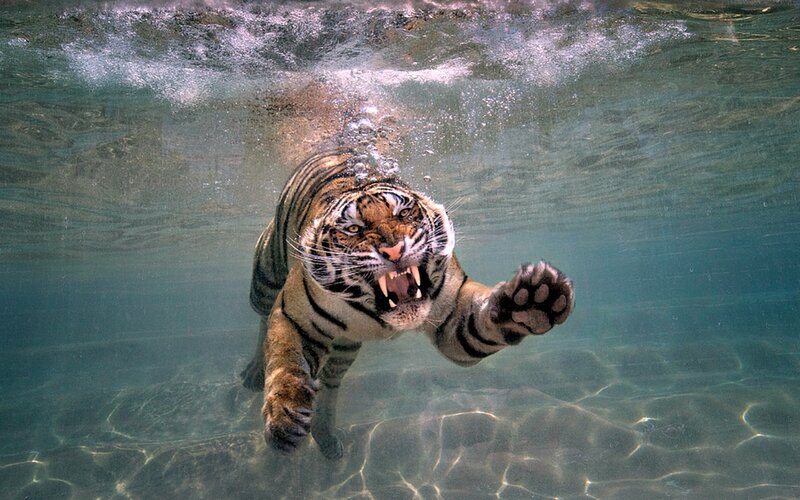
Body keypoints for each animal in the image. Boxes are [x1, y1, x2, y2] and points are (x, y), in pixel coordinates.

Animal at [240, 149, 574, 459]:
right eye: (354, 229)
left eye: (403, 214)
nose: (393, 249)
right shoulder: (293, 316)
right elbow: (286, 361)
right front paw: (285, 416)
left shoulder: (453, 316)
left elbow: (482, 323)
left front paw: (534, 301)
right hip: (266, 277)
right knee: (262, 319)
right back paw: (254, 374)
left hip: (346, 347)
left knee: (331, 382)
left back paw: (327, 439)